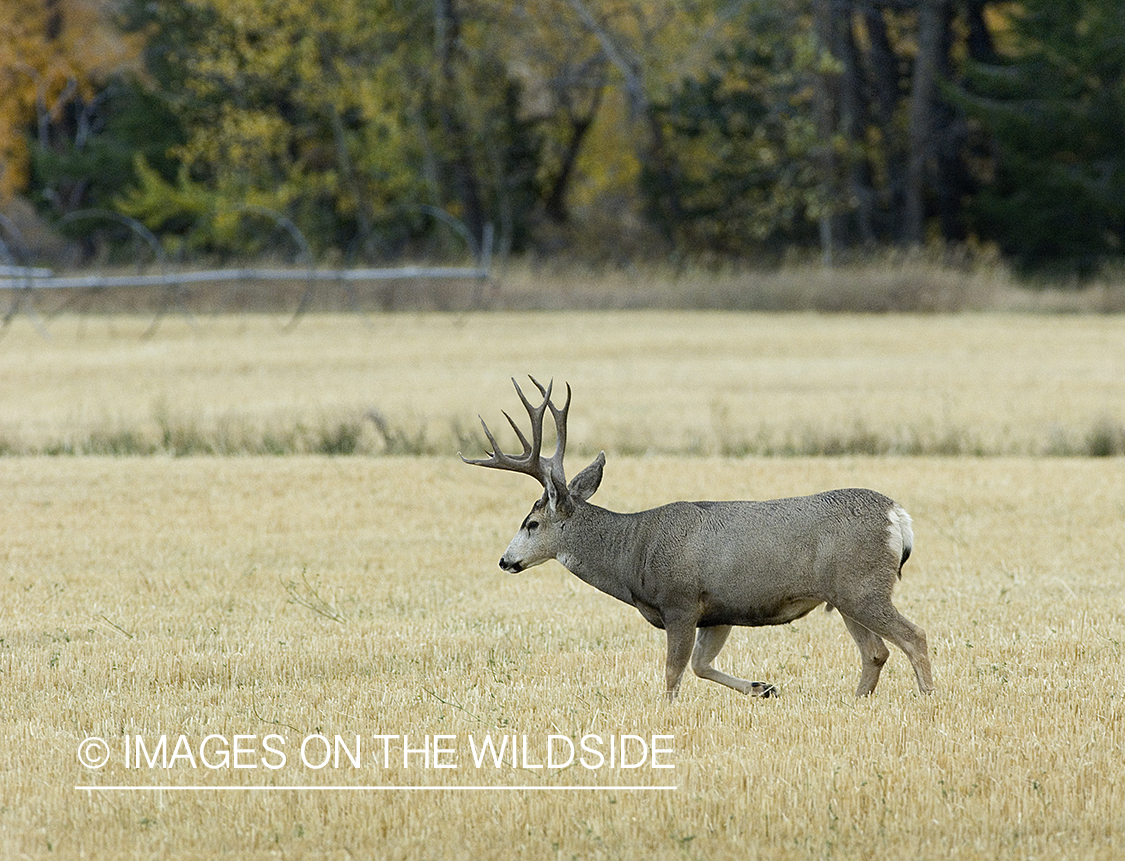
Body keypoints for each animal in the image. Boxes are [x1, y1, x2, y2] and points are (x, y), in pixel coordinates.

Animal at [462, 377, 934, 701]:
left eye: (531, 523)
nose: (505, 560)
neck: (634, 551)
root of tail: (897, 516)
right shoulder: (719, 610)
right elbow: (702, 666)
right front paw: (764, 688)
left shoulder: (681, 601)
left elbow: (674, 672)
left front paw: (667, 711)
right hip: (844, 595)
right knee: (875, 652)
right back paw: (854, 704)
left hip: (862, 586)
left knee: (913, 636)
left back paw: (928, 699)